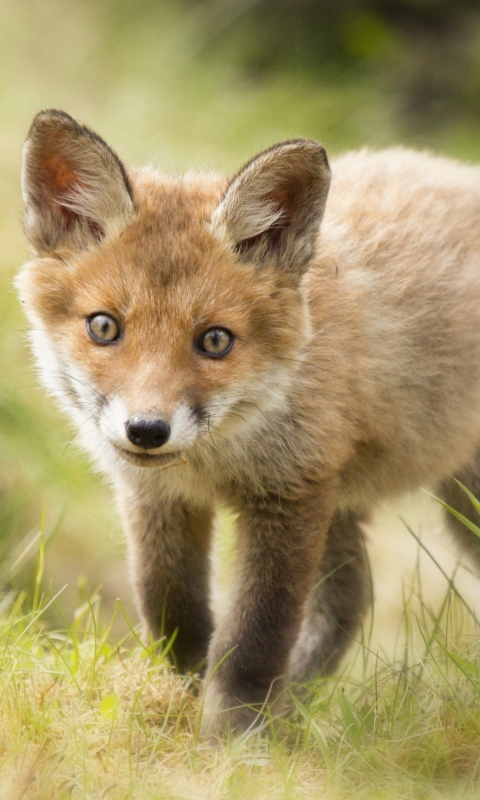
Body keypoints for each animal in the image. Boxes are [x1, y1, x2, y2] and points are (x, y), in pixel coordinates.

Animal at [15, 108, 480, 736]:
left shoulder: (290, 494)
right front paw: (185, 698)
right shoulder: (158, 496)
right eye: (104, 327)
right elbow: (173, 609)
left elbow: (255, 637)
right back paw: (297, 706)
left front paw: (235, 738)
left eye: (215, 340)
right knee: (350, 597)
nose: (147, 430)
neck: (216, 458)